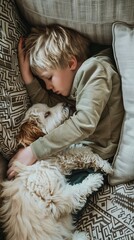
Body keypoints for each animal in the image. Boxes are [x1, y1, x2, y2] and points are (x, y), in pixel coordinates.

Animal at [0, 102, 113, 240]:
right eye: (47, 114)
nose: (65, 103)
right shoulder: (56, 198)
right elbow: (76, 190)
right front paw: (98, 176)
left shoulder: (61, 160)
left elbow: (80, 151)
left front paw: (102, 165)